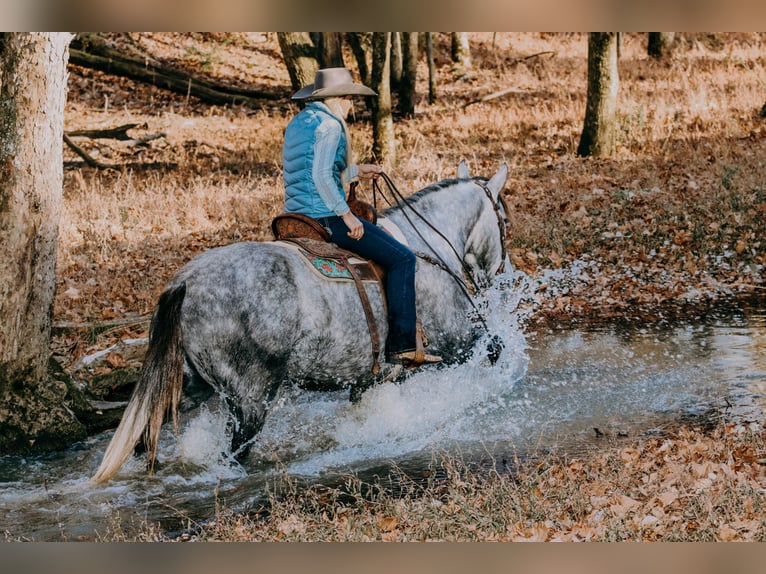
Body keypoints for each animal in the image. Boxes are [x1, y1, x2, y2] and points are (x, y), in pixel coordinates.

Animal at [91, 160, 510, 484]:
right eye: (504, 219)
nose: (499, 275)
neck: (424, 248)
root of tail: (185, 283)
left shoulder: (370, 378)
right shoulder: (453, 342)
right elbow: (493, 349)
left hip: (190, 386)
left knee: (147, 434)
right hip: (249, 401)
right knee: (233, 453)